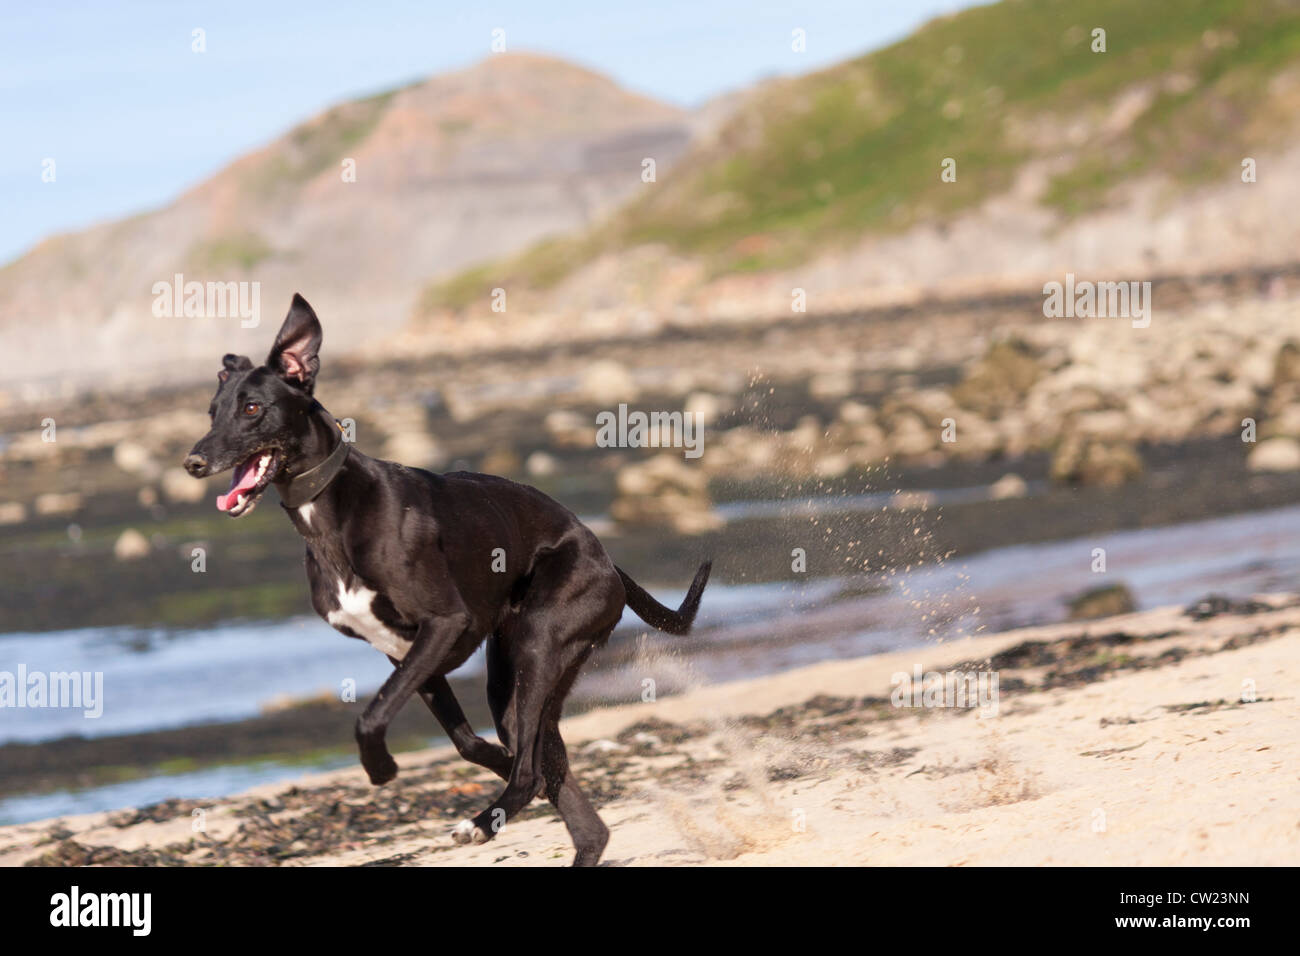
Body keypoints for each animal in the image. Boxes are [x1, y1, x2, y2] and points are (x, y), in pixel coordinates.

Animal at [184, 293, 712, 868]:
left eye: (253, 408)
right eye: (213, 411)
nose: (193, 462)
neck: (332, 508)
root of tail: (605, 557)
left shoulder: (441, 627)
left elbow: (372, 717)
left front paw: (382, 769)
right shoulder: (407, 655)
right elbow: (466, 743)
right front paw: (490, 766)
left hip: (540, 645)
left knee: (530, 771)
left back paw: (480, 823)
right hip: (515, 680)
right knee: (568, 801)